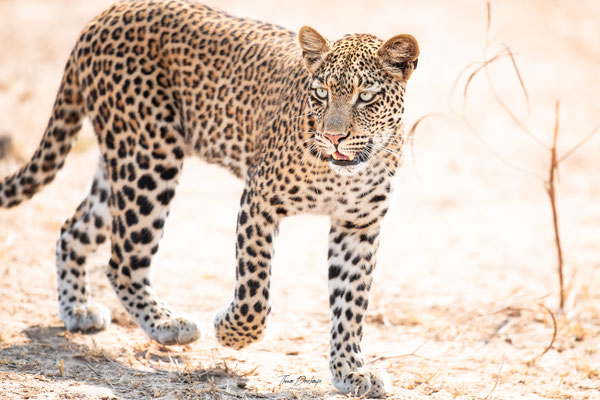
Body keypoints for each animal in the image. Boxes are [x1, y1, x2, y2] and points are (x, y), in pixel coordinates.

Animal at [0, 0, 420, 396]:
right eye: (321, 93)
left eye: (366, 97)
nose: (333, 137)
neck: (346, 172)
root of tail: (106, 14)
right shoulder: (258, 200)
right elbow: (254, 292)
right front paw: (230, 331)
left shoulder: (357, 226)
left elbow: (351, 303)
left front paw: (351, 371)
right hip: (148, 160)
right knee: (122, 261)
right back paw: (168, 324)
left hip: (121, 166)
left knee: (72, 230)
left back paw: (78, 310)